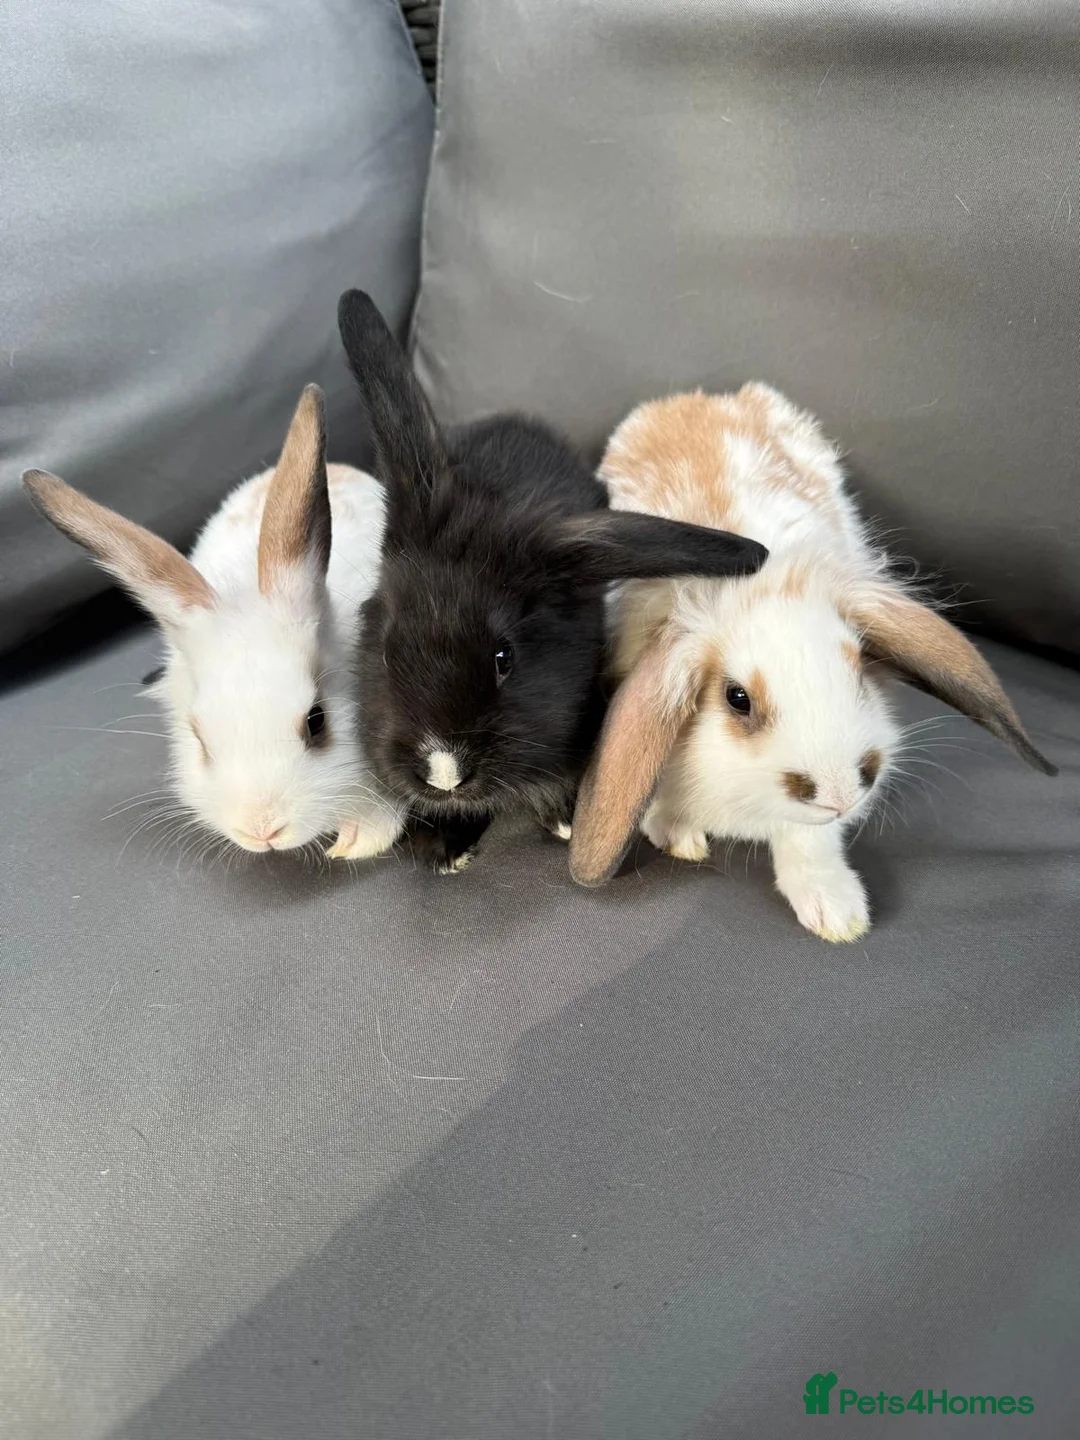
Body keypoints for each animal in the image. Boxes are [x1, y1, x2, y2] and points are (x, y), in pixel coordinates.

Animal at [568, 385, 1057, 940]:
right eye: (737, 698)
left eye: (860, 663)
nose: (843, 792)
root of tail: (699, 397)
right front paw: (677, 834)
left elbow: (809, 842)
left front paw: (837, 912)